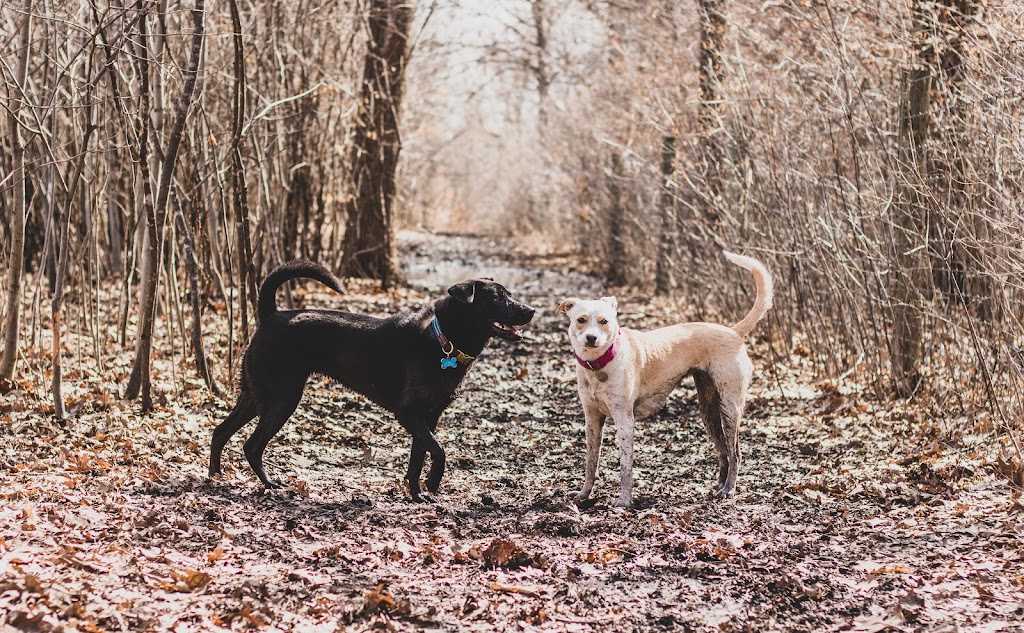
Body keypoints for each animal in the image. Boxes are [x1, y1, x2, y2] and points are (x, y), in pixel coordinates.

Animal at [207, 259, 536, 499]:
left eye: (509, 294)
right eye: (498, 297)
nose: (531, 310)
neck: (443, 339)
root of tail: (271, 315)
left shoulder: (428, 417)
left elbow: (419, 456)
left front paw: (416, 495)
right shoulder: (409, 413)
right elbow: (438, 451)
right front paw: (432, 483)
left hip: (255, 396)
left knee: (220, 432)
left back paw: (214, 475)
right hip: (282, 398)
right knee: (252, 445)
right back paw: (269, 484)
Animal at [557, 248, 770, 505]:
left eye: (604, 321)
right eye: (580, 319)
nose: (591, 338)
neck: (599, 364)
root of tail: (733, 331)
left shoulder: (624, 421)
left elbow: (625, 467)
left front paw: (624, 502)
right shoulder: (592, 419)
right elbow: (591, 462)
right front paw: (584, 494)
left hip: (730, 408)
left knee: (735, 452)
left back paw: (729, 489)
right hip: (708, 412)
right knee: (723, 452)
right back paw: (720, 485)